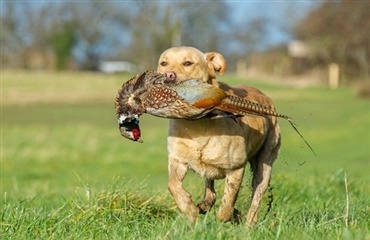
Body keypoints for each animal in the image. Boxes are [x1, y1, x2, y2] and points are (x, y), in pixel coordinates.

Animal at [157, 46, 280, 226]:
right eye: (163, 63)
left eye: (188, 63)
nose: (168, 75)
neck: (196, 126)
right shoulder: (178, 160)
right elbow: (173, 185)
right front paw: (190, 210)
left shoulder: (236, 168)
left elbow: (228, 202)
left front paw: (232, 214)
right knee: (211, 190)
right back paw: (204, 205)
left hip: (265, 163)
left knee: (256, 197)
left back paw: (248, 224)